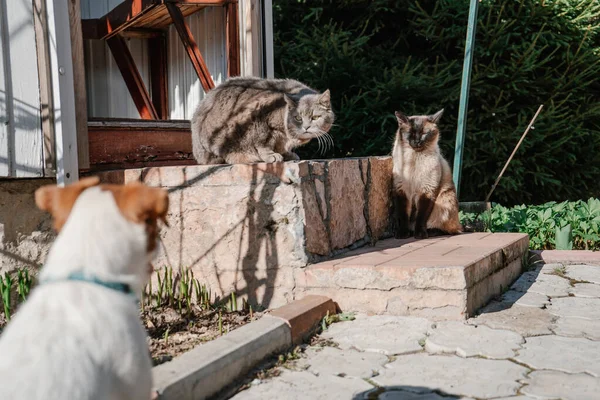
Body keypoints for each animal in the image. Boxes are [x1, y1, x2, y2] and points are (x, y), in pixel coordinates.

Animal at [191, 76, 336, 164]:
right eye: (298, 118)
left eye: (315, 117)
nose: (306, 127)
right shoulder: (258, 118)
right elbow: (263, 143)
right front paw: (271, 155)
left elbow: (281, 145)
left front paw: (287, 154)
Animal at [392, 109, 462, 239]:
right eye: (410, 133)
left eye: (424, 133)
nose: (417, 141)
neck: (415, 158)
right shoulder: (402, 190)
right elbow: (403, 216)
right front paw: (403, 234)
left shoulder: (427, 191)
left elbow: (421, 217)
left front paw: (419, 235)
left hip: (444, 202)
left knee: (451, 230)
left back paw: (430, 232)